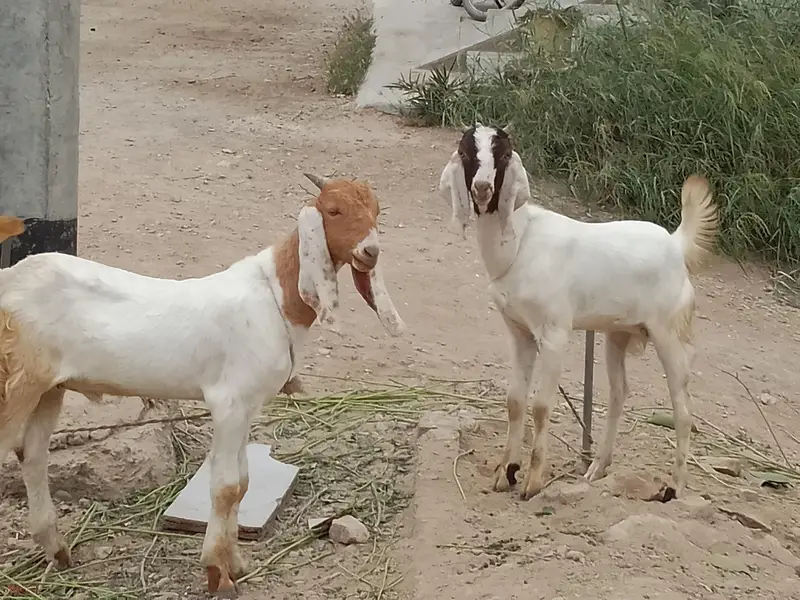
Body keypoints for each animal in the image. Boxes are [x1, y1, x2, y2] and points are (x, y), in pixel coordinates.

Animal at [0, 174, 405, 598]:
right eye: (333, 210)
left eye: (376, 211)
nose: (370, 251)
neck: (275, 296)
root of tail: (8, 281)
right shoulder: (228, 402)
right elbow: (226, 487)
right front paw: (216, 573)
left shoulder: (248, 405)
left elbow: (243, 483)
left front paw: (236, 564)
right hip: (17, 381)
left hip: (49, 388)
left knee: (32, 455)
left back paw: (56, 550)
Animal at [439, 124, 718, 501]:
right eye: (466, 152)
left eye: (504, 154)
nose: (482, 189)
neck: (521, 242)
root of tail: (676, 244)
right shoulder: (519, 331)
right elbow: (515, 401)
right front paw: (505, 473)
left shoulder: (554, 332)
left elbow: (541, 407)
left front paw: (532, 482)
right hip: (618, 333)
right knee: (619, 393)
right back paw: (597, 468)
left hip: (669, 333)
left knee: (683, 410)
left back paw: (673, 487)